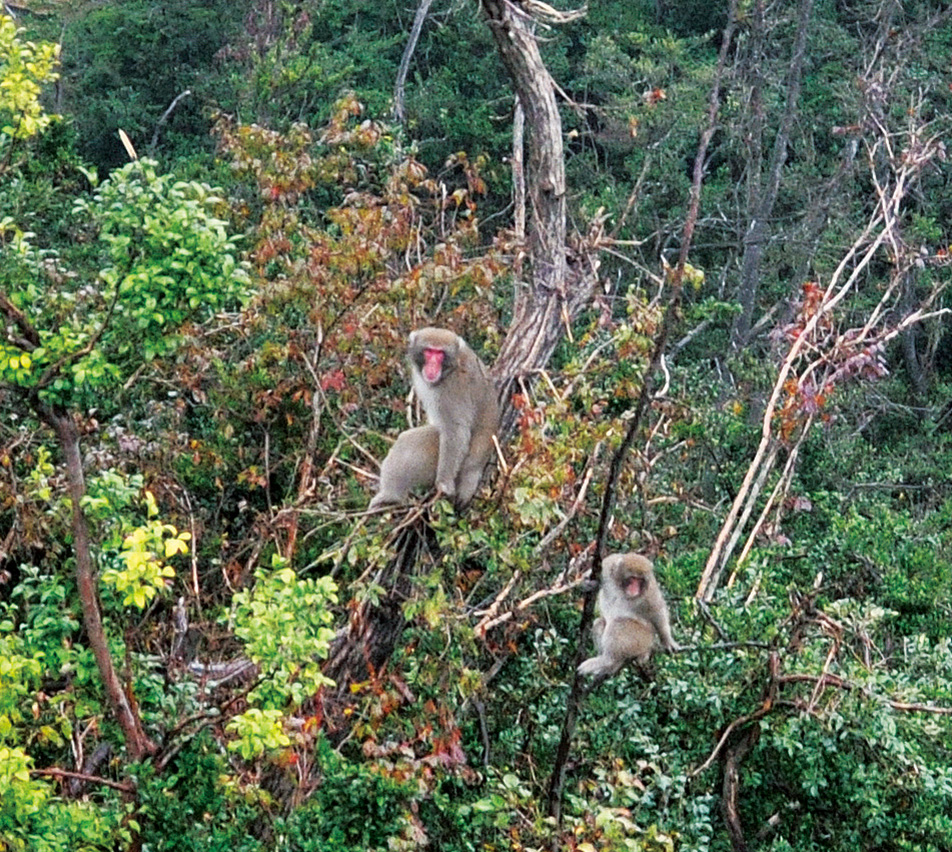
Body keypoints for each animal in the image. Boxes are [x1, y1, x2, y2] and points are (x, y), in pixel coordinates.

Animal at [368, 330, 498, 510]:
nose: (432, 366)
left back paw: (390, 496)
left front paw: (444, 484)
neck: (450, 369)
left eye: (440, 354)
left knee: (408, 442)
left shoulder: (452, 389)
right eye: (429, 352)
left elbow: (456, 432)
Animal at [576, 552, 680, 680]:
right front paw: (586, 583)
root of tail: (648, 646)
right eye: (632, 578)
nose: (634, 588)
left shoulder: (649, 590)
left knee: (619, 624)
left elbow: (657, 611)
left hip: (643, 639)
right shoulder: (607, 567)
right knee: (599, 623)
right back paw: (610, 665)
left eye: (640, 580)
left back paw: (608, 661)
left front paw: (667, 640)